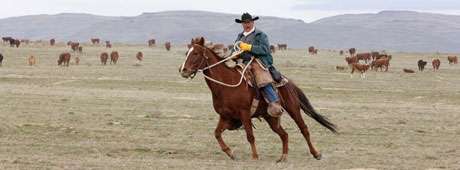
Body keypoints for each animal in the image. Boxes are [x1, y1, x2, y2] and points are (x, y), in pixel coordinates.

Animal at [180, 36, 338, 162]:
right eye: (187, 52)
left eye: (195, 53)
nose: (183, 70)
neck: (226, 85)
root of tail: (289, 83)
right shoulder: (225, 116)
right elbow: (217, 133)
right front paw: (231, 153)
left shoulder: (244, 113)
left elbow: (250, 135)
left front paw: (255, 156)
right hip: (271, 117)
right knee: (284, 134)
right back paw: (283, 157)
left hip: (293, 109)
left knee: (304, 129)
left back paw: (316, 153)